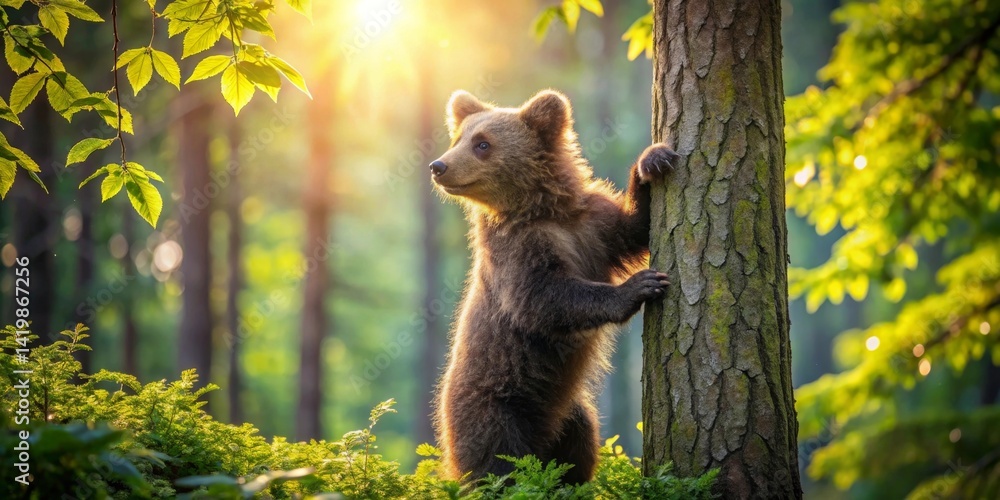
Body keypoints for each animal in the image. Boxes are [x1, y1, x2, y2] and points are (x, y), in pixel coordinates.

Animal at [429, 89, 677, 485]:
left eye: (481, 143)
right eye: (459, 139)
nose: (438, 166)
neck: (543, 208)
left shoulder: (593, 226)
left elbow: (636, 227)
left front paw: (653, 161)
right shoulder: (517, 249)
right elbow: (541, 298)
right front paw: (640, 285)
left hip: (570, 414)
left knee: (578, 448)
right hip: (495, 409)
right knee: (498, 469)